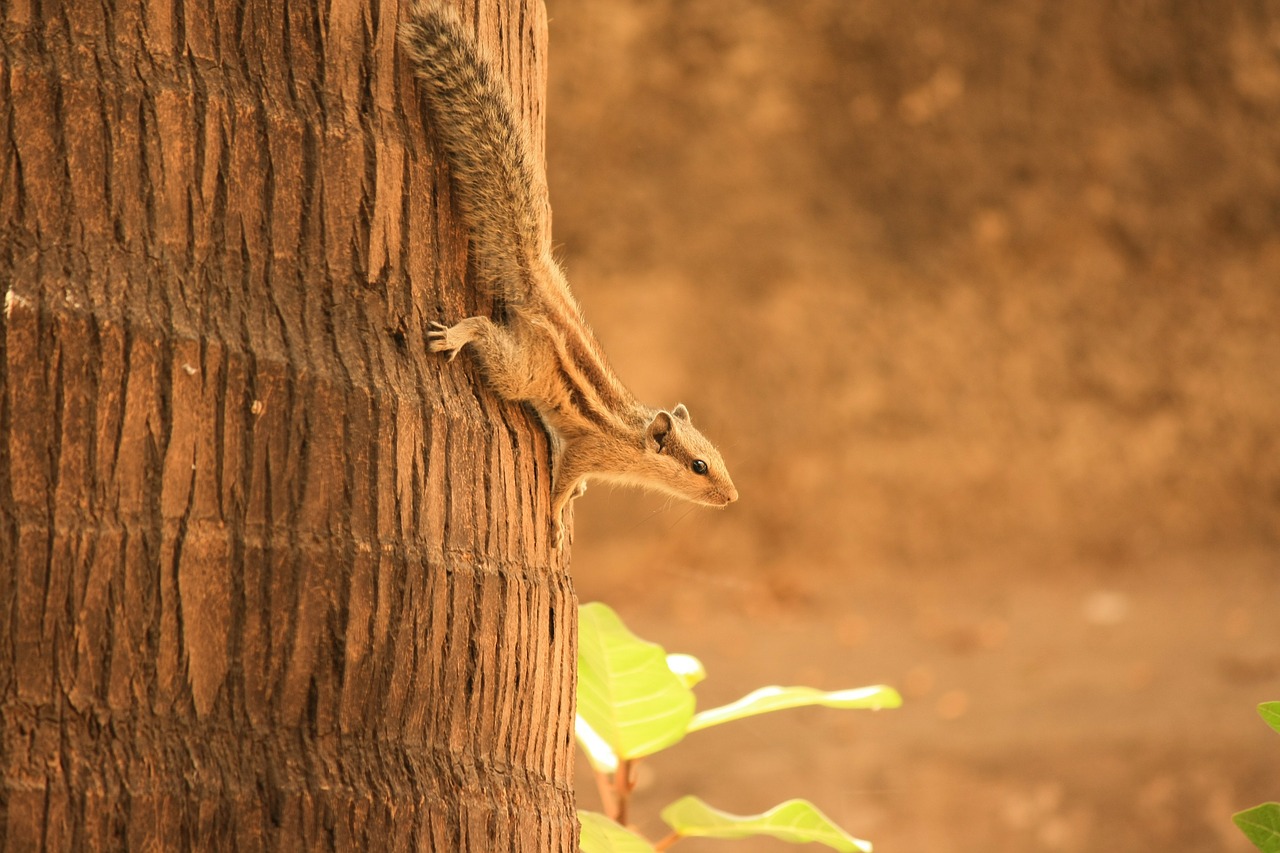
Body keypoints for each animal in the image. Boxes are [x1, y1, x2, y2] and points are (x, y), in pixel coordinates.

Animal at [399, 1, 742, 545]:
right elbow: (563, 481)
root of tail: (539, 279)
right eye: (699, 466)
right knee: (485, 330)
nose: (732, 497)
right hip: (523, 369)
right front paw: (559, 517)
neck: (631, 438)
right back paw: (454, 335)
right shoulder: (588, 449)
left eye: (718, 457)